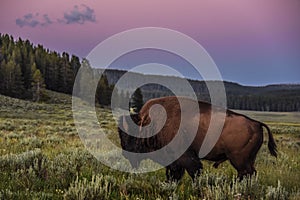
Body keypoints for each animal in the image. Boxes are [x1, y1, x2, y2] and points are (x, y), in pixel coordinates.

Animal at [117, 96, 276, 181]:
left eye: (130, 135)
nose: (125, 154)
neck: (150, 123)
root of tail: (256, 123)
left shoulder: (186, 159)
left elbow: (193, 173)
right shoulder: (174, 163)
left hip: (240, 160)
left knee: (246, 174)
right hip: (247, 160)